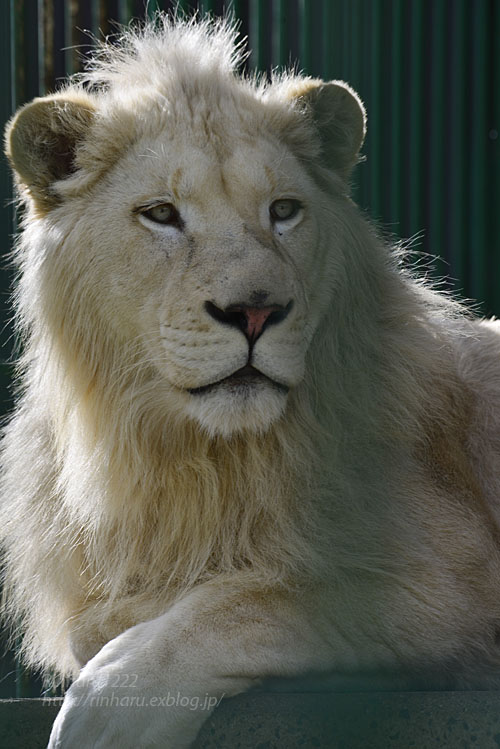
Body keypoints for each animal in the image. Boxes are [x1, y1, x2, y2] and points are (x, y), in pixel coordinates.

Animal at [2, 13, 500, 748]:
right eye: (161, 213)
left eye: (284, 210)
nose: (256, 312)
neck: (198, 456)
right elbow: (107, 618)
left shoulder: (459, 577)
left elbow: (258, 598)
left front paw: (112, 705)